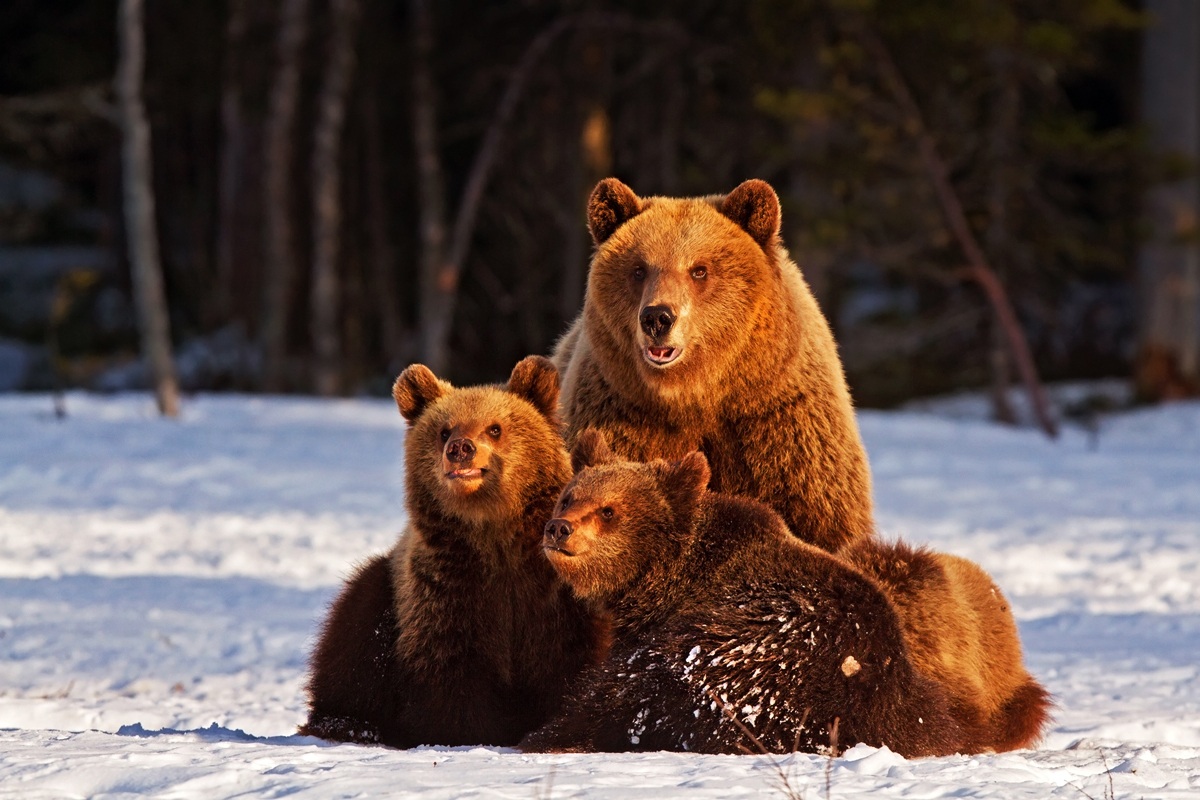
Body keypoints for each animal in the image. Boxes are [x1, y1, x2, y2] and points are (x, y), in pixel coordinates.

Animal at [300, 356, 603, 748]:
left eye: (494, 428)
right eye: (444, 430)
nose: (460, 447)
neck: (494, 535)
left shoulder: (552, 598)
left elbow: (568, 662)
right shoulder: (446, 591)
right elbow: (452, 675)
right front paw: (466, 735)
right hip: (381, 595)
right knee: (351, 641)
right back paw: (349, 724)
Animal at [553, 177, 873, 553]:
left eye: (699, 270)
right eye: (639, 269)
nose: (657, 317)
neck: (695, 394)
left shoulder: (780, 433)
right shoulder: (623, 418)